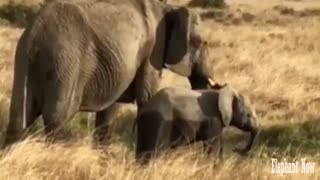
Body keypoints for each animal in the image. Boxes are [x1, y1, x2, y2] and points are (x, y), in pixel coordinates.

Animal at [3, 0, 214, 147]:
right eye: (200, 42)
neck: (168, 8)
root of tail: (35, 34)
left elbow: (111, 107)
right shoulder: (153, 50)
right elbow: (147, 98)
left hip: (24, 61)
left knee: (19, 118)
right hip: (66, 62)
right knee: (57, 118)